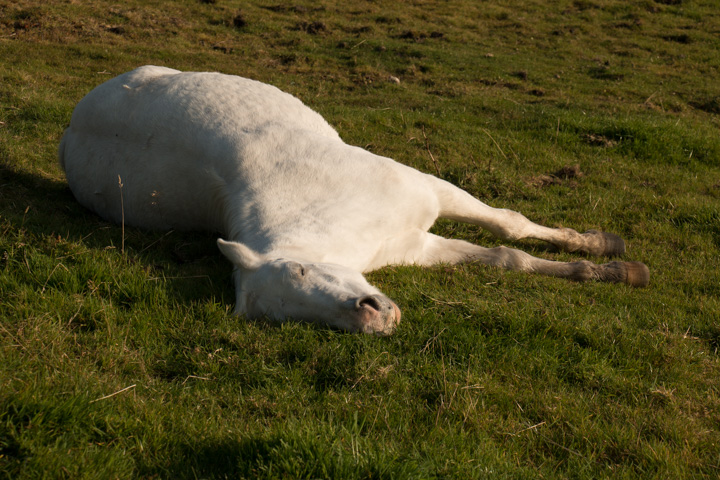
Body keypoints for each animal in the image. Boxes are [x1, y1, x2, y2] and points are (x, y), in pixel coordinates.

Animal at [59, 65, 648, 336]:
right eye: (293, 318)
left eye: (300, 270)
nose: (372, 318)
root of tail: (72, 123)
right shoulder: (418, 246)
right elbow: (508, 258)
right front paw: (607, 269)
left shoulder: (432, 190)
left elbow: (510, 230)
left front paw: (607, 252)